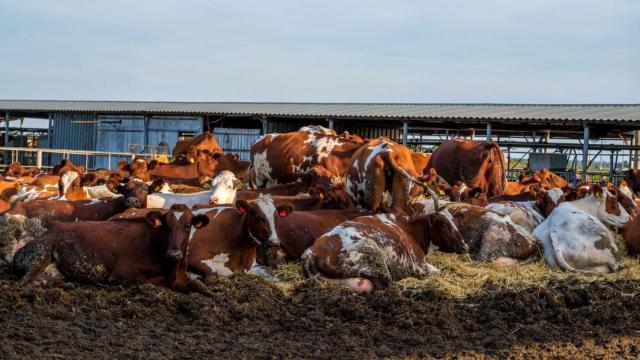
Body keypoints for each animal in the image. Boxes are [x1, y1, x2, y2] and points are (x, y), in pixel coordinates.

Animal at [11, 208, 205, 290]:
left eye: (187, 226)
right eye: (166, 225)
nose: (174, 254)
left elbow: (200, 286)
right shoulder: (121, 273)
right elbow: (149, 283)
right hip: (41, 253)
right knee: (25, 282)